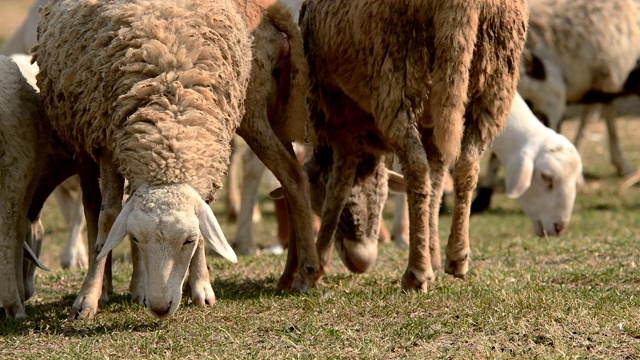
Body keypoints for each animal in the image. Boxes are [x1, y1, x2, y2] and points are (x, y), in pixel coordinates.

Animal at [33, 0, 250, 320]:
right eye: (135, 238)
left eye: (189, 240)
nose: (160, 307)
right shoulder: (109, 144)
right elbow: (109, 219)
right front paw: (88, 297)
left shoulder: (207, 150)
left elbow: (205, 212)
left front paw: (201, 286)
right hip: (83, 141)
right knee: (94, 208)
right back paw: (108, 287)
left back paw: (137, 288)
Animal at [298, 0, 528, 290]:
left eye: (315, 196)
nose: (360, 261)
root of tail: (464, 5)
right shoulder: (430, 128)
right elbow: (437, 182)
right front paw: (433, 252)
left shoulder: (341, 120)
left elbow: (338, 189)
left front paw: (316, 266)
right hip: (495, 82)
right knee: (466, 166)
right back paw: (457, 257)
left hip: (397, 71)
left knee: (417, 169)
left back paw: (416, 272)